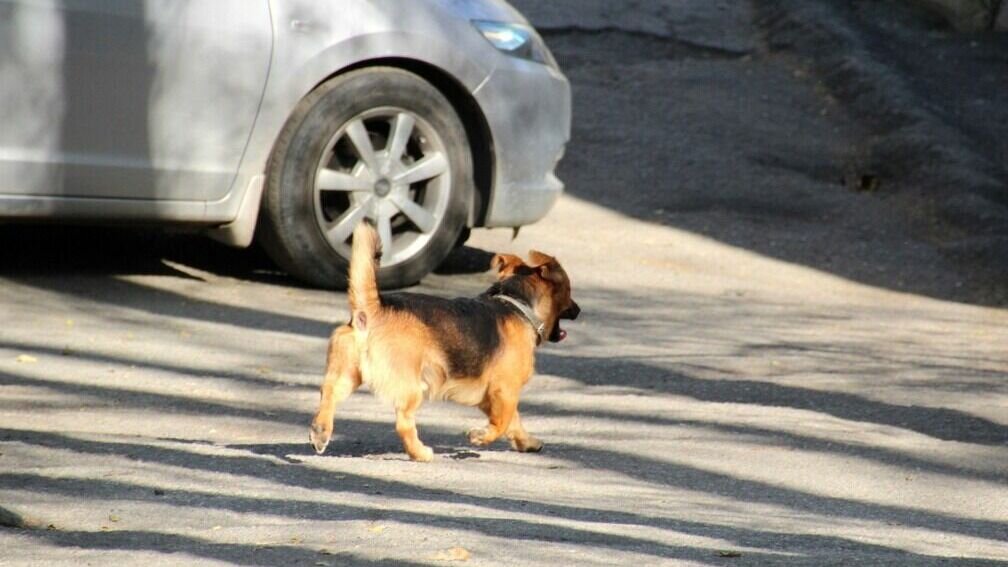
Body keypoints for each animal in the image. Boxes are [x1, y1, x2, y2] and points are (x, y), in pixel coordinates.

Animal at [306, 220, 580, 460]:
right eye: (569, 291)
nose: (578, 310)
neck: (516, 304)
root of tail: (372, 310)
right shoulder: (505, 391)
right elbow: (502, 422)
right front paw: (481, 436)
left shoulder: (495, 396)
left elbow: (514, 421)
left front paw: (527, 442)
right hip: (412, 388)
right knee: (403, 423)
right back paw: (420, 453)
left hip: (347, 373)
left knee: (328, 393)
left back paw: (321, 432)